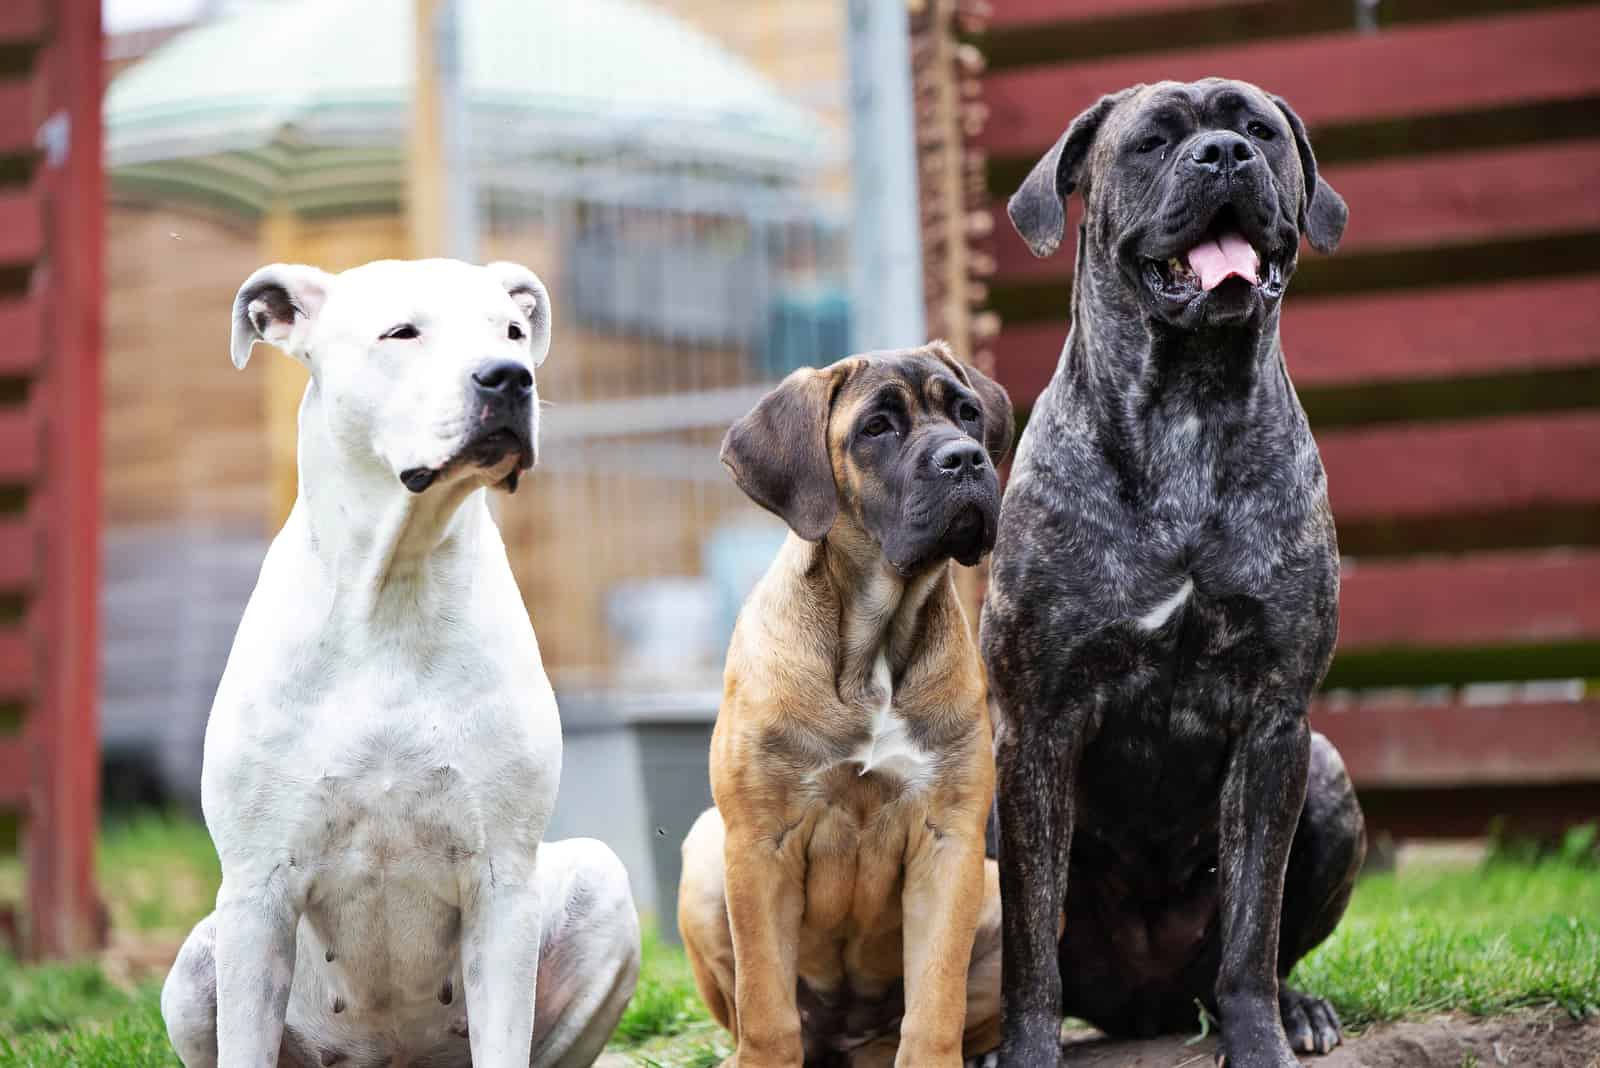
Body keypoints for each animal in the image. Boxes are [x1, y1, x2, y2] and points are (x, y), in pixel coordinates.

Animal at [159, 259, 640, 1068]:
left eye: (513, 330)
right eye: (402, 332)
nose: (509, 376)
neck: (395, 584)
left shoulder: (502, 885)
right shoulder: (256, 895)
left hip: (599, 884)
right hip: (197, 964)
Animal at [675, 343, 1011, 1068]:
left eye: (967, 412)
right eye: (876, 429)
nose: (966, 458)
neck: (873, 645)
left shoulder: (950, 841)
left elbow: (934, 1002)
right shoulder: (760, 843)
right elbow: (766, 1007)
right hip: (706, 857)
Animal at [979, 79, 1369, 1061]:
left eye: (1260, 129)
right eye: (1152, 141)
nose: (1225, 154)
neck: (1188, 407)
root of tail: (1145, 1009)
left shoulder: (1274, 719)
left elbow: (1252, 921)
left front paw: (1260, 1038)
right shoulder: (1036, 724)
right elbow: (1029, 936)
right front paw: (1026, 1048)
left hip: (1327, 774)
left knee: (1258, 954)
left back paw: (1296, 1009)